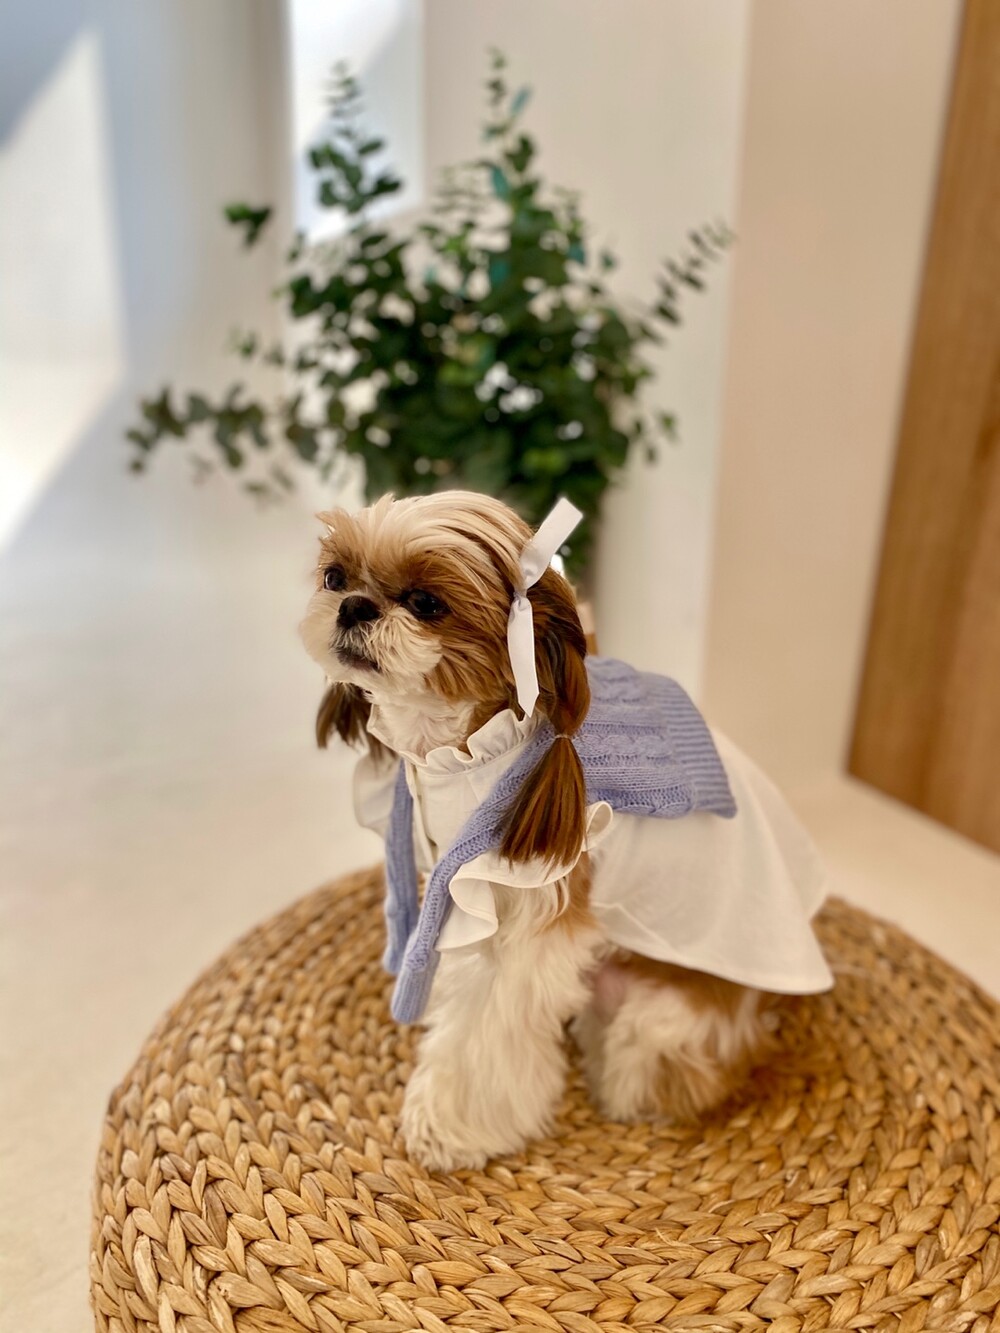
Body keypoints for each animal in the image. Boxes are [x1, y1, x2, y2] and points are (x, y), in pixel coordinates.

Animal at [301, 491, 832, 1171]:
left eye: (425, 603)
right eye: (335, 577)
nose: (353, 605)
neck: (473, 745)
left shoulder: (525, 918)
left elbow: (483, 1028)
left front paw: (447, 1124)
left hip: (656, 1023)